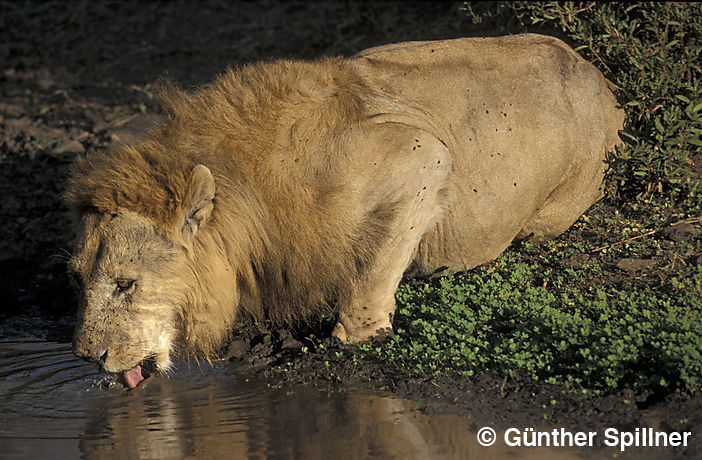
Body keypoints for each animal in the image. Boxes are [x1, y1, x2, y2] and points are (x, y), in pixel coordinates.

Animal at [67, 35, 628, 388]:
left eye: (126, 284)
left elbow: (374, 267)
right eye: (78, 280)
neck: (251, 196)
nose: (86, 357)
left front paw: (354, 336)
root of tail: (598, 75)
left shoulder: (423, 155)